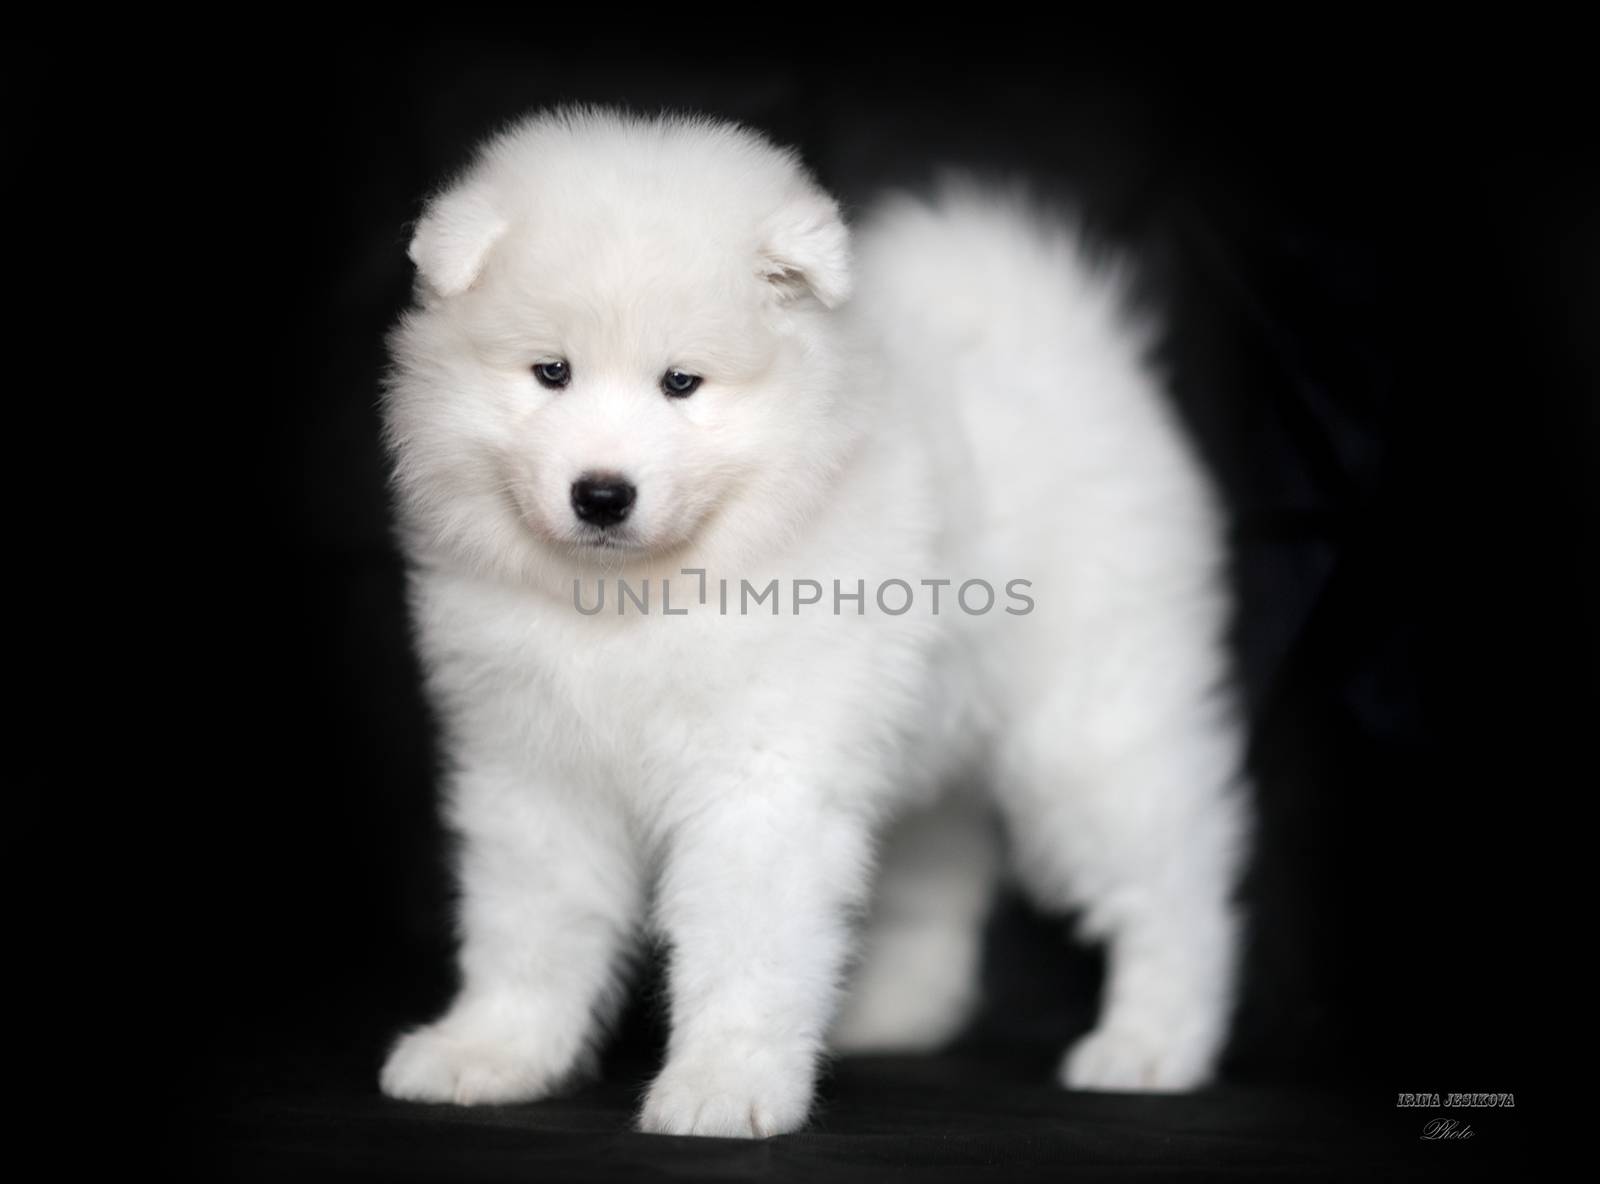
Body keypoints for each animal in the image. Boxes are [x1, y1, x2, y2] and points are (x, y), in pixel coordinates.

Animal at [377, 111, 1248, 1139]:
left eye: (681, 384)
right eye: (551, 372)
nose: (601, 494)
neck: (633, 602)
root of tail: (1059, 340)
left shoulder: (762, 774)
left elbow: (744, 943)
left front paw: (725, 1084)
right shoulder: (534, 769)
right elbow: (529, 926)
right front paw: (492, 1051)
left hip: (1090, 727)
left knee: (1170, 882)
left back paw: (1152, 1044)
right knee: (937, 869)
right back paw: (893, 1015)